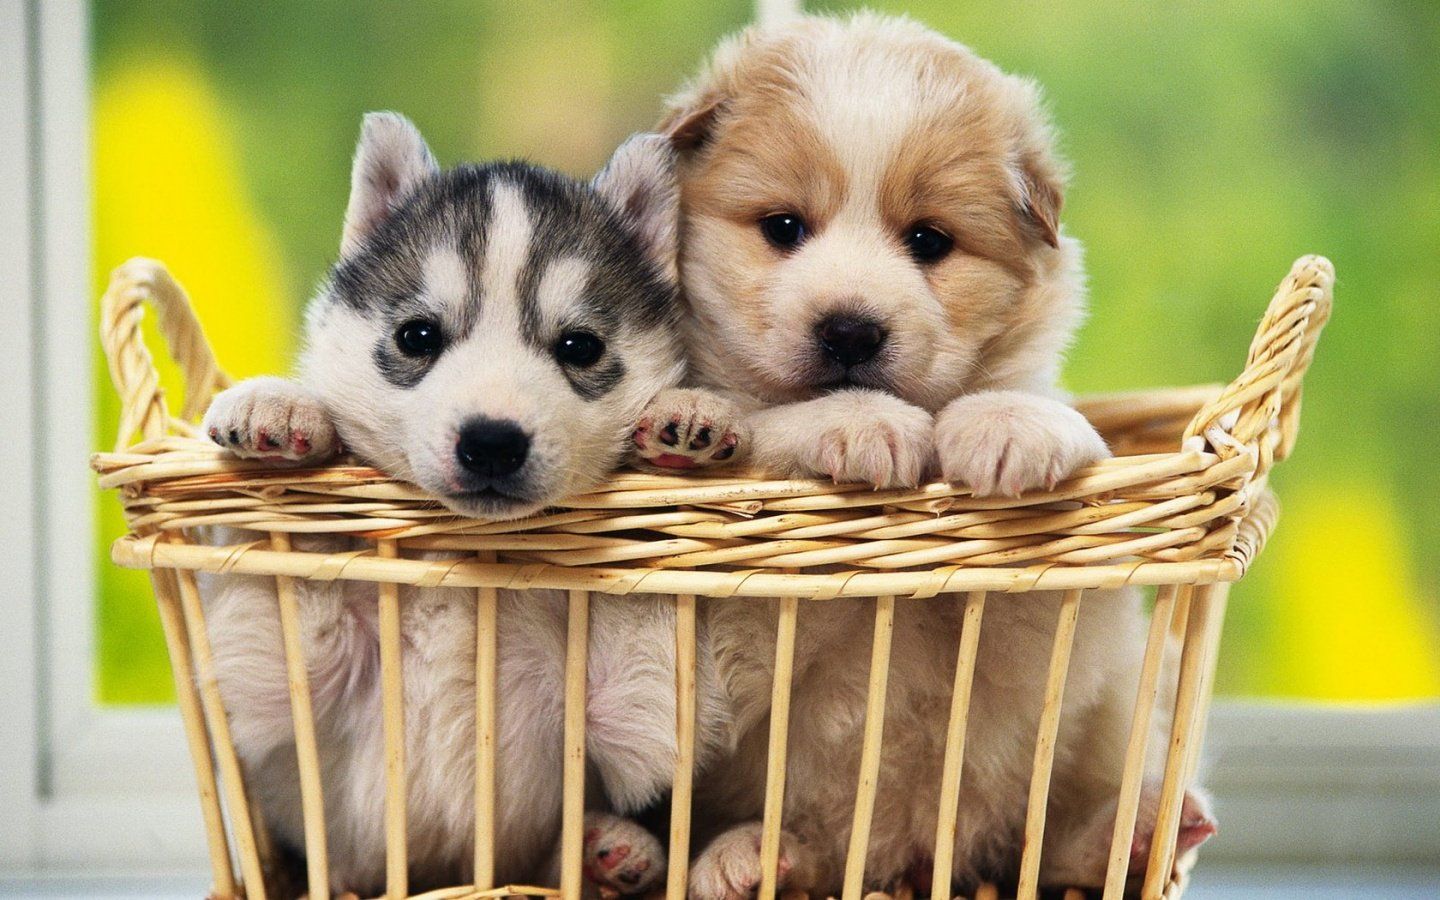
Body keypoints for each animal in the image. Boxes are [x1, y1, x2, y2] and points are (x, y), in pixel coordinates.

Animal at [197, 115, 731, 892]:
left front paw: (686, 414)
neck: (465, 563)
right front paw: (283, 408)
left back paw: (608, 852)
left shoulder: (631, 716)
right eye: (418, 336)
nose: (492, 443)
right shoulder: (278, 699)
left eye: (579, 346)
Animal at [636, 15, 1221, 898]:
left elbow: (1035, 414)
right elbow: (774, 417)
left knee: (1055, 837)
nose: (850, 329)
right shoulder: (737, 653)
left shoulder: (1036, 641)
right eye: (783, 228)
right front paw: (769, 421)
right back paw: (746, 858)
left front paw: (1008, 427)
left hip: (1100, 734)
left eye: (929, 241)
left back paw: (1144, 827)